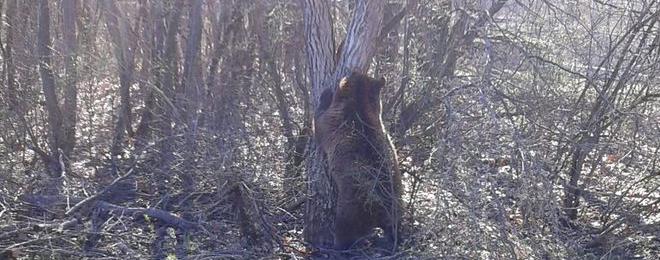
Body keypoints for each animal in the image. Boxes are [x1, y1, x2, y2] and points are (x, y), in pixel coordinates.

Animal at [314, 71, 402, 250]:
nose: (351, 72)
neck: (361, 107)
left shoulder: (332, 122)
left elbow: (318, 121)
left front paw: (325, 94)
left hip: (351, 207)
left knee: (345, 228)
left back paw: (340, 243)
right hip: (396, 197)